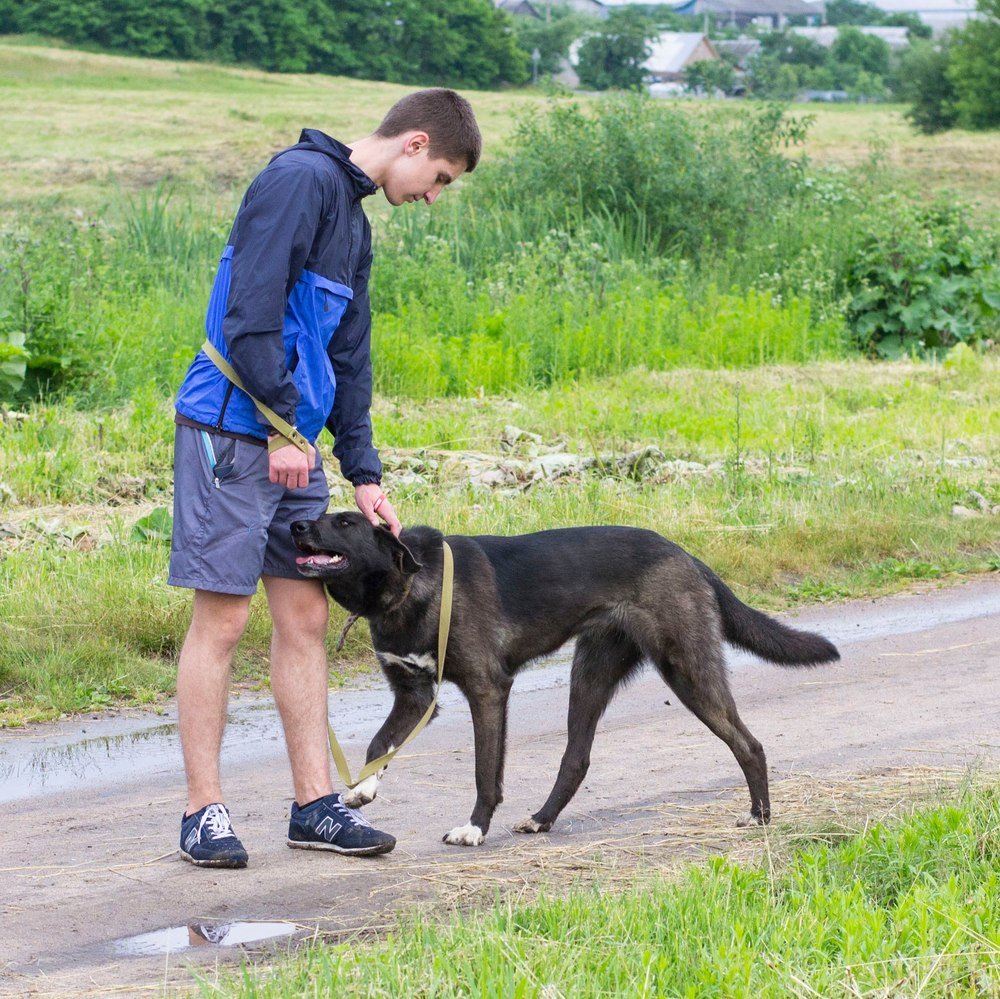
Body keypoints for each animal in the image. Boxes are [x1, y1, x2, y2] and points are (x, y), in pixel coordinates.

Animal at [292, 512, 836, 848]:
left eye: (344, 522)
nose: (295, 524)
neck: (408, 586)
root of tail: (685, 555)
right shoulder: (414, 695)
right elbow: (379, 744)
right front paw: (363, 791)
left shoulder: (488, 690)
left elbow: (485, 773)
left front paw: (474, 828)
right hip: (590, 674)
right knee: (576, 758)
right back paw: (542, 818)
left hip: (687, 670)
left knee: (749, 744)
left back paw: (759, 816)